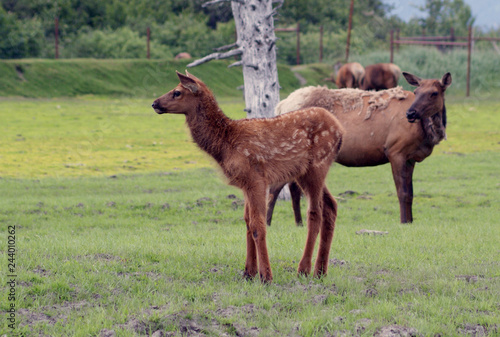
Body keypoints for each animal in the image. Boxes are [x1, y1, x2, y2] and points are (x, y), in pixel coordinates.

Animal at [152, 71, 346, 284]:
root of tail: (340, 131)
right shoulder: (245, 183)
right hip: (305, 173)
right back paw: (320, 271)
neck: (225, 144)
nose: (154, 103)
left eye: (177, 92)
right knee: (331, 206)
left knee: (315, 212)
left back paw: (303, 269)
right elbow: (247, 221)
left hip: (316, 166)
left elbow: (258, 225)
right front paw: (248, 272)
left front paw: (266, 276)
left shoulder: (256, 178)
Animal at [270, 71, 454, 224]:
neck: (425, 134)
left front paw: (410, 221)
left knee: (293, 187)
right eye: (416, 92)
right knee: (278, 185)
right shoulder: (395, 151)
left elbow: (411, 193)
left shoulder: (410, 158)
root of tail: (280, 106)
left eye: (434, 93)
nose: (410, 113)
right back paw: (270, 222)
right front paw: (403, 221)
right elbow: (402, 192)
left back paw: (299, 223)